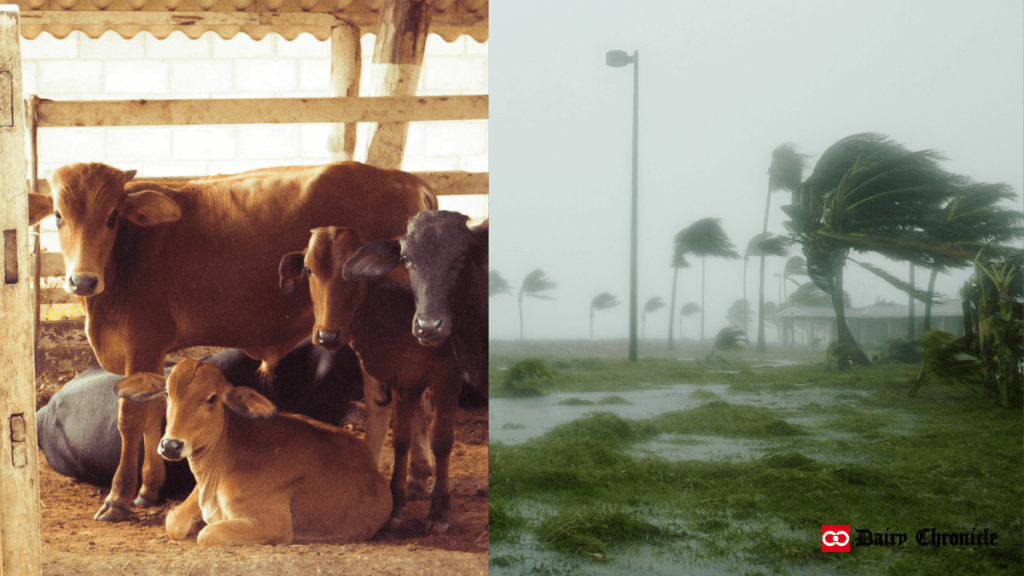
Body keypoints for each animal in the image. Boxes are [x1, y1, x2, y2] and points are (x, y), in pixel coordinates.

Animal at [27, 159, 436, 520]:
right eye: (58, 215)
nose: (82, 280)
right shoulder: (152, 351)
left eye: (112, 216)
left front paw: (119, 497)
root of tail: (407, 181)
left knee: (388, 403)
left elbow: (130, 419)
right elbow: (154, 412)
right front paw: (149, 488)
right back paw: (419, 476)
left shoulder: (141, 342)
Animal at [114, 358, 389, 541]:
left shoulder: (274, 524)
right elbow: (173, 522)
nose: (171, 445)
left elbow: (207, 535)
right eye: (167, 393)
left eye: (212, 398)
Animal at [276, 226, 460, 532]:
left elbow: (442, 439)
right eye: (308, 269)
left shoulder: (447, 373)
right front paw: (396, 504)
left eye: (354, 272)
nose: (328, 336)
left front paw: (438, 512)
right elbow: (401, 436)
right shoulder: (400, 377)